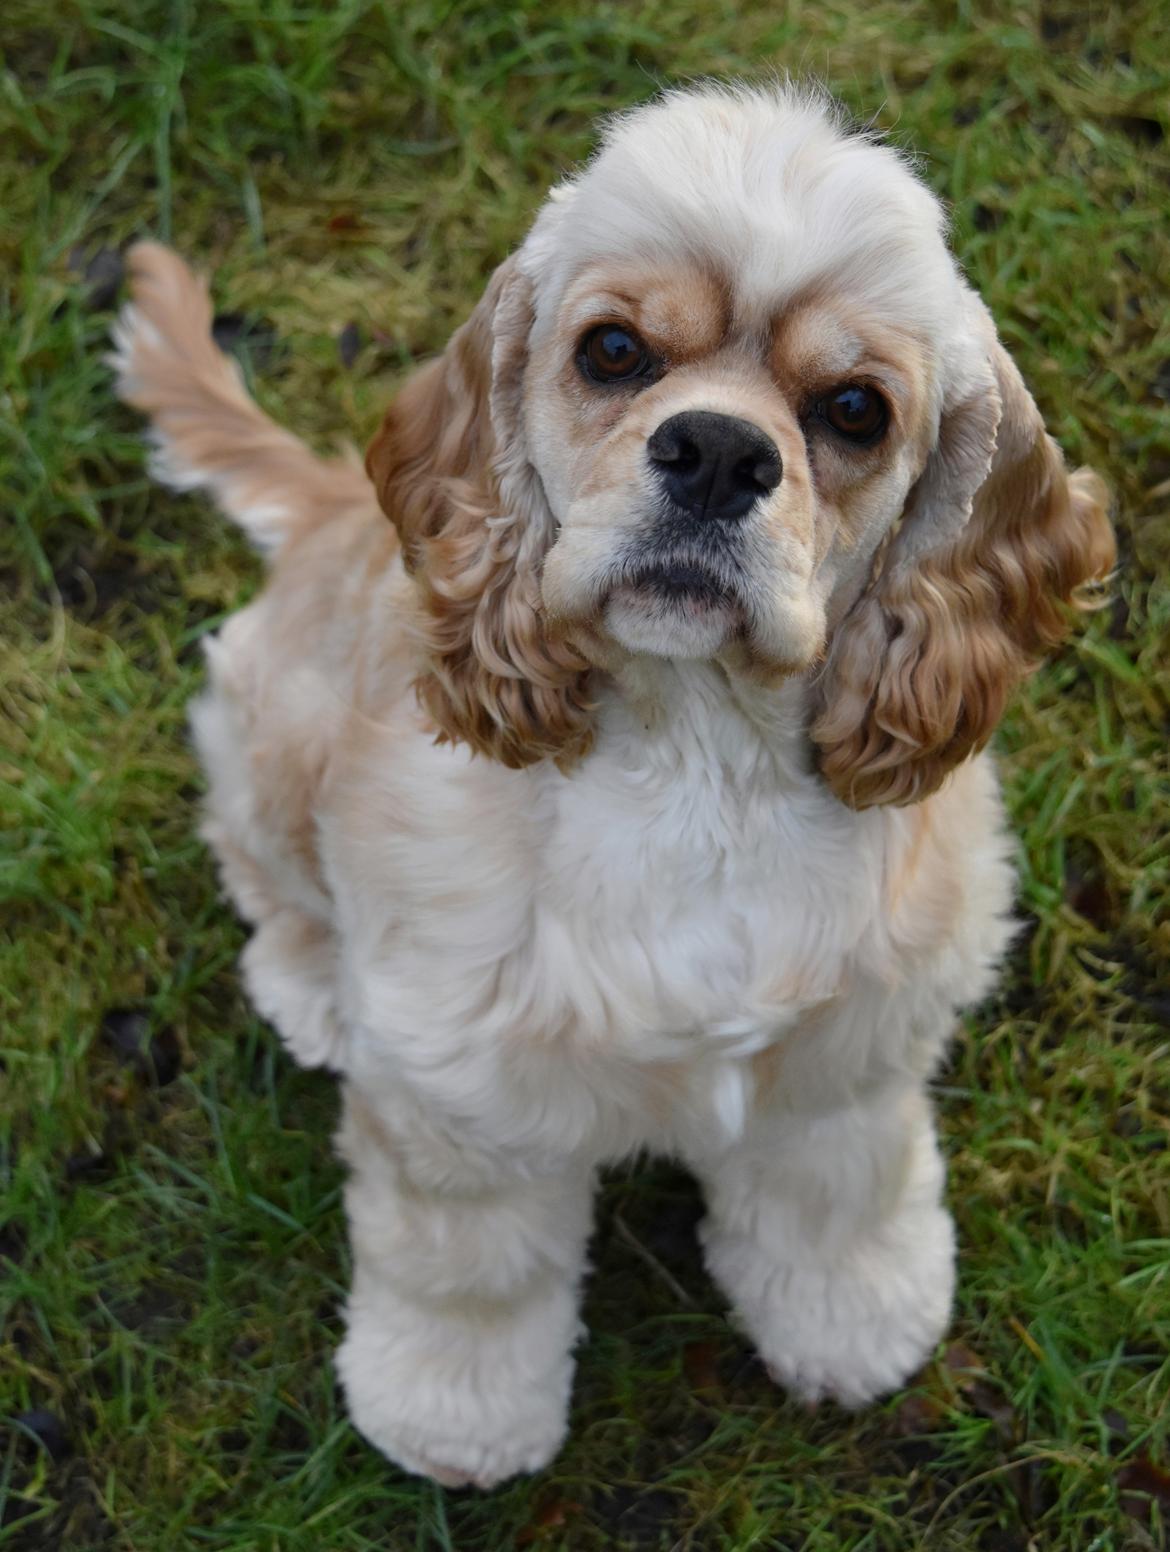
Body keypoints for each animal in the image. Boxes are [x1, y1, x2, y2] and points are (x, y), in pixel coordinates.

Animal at [111, 78, 1111, 1483]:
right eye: (615, 352)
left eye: (855, 409)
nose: (717, 454)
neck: (697, 761)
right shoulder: (463, 1091)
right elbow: (467, 1270)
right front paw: (453, 1414)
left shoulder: (849, 1050)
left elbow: (837, 1194)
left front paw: (858, 1319)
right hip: (267, 727)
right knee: (267, 877)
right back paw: (312, 987)